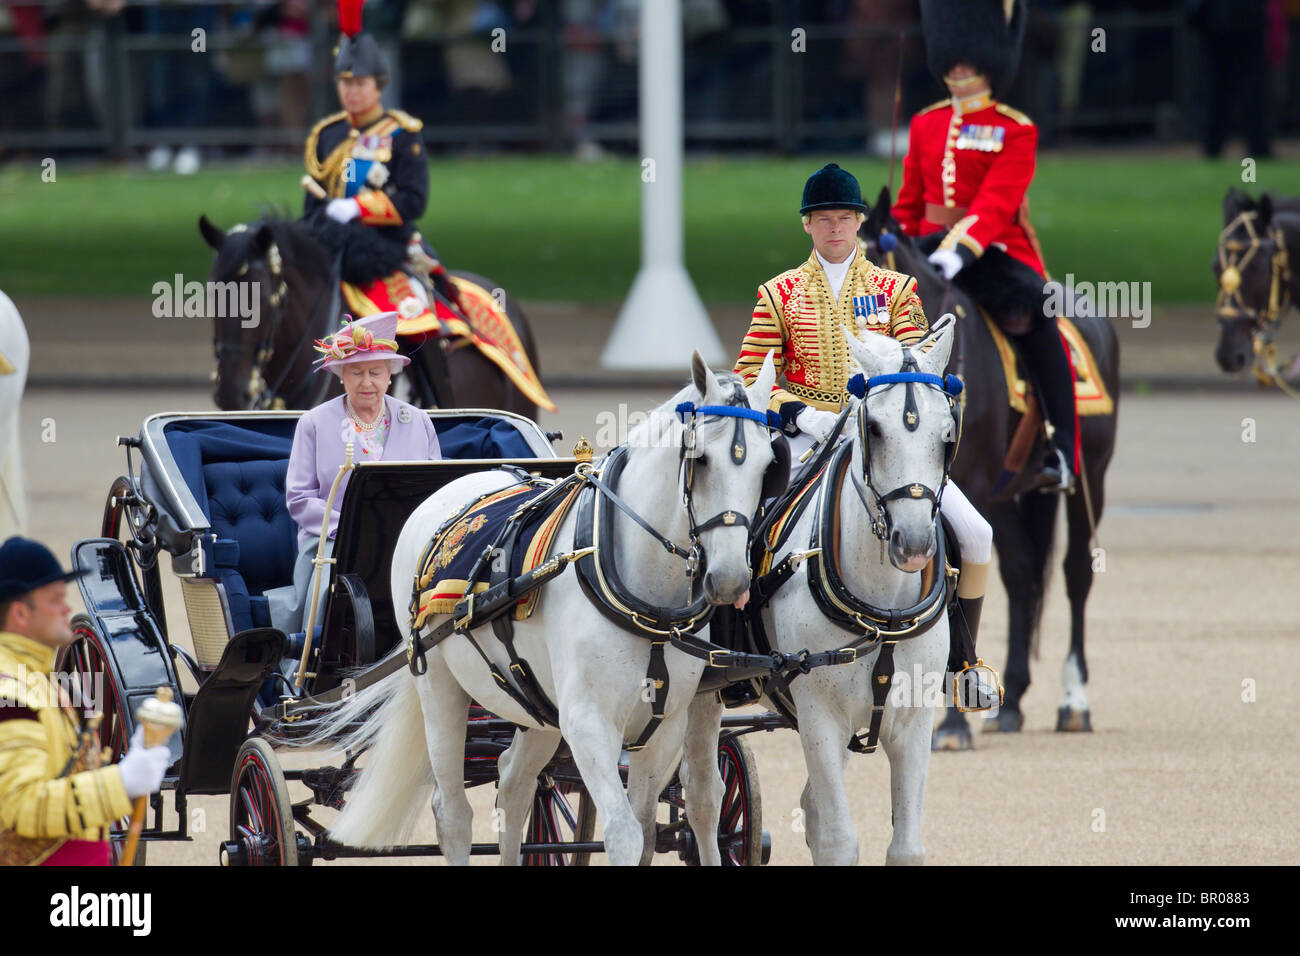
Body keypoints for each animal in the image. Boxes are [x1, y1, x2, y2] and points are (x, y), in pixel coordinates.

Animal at [299, 351, 774, 868]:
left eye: (769, 465)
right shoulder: (587, 723)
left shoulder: (665, 724)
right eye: (701, 459)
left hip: (532, 701)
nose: (730, 580)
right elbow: (625, 835)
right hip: (441, 688)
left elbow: (650, 827)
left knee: (513, 785)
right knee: (453, 813)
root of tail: (459, 483)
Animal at [681, 323, 956, 868]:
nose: (914, 544)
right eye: (875, 429)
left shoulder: (913, 720)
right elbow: (837, 840)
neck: (881, 608)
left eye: (946, 435)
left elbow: (906, 846)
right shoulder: (819, 716)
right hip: (701, 693)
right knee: (698, 799)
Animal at [857, 183, 1123, 743]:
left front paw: (952, 723)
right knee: (1021, 574)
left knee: (1075, 574)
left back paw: (1074, 701)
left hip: (1091, 477)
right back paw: (1012, 701)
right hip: (1005, 493)